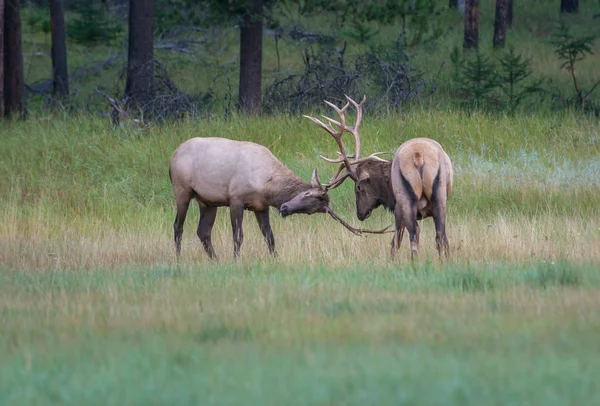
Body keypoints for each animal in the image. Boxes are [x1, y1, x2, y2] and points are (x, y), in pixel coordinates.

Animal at [169, 136, 386, 260]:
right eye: (307, 193)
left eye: (310, 211)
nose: (284, 208)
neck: (266, 186)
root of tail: (172, 158)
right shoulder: (236, 198)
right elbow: (238, 236)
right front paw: (236, 260)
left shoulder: (260, 206)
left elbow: (269, 236)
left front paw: (276, 259)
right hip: (182, 190)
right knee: (178, 226)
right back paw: (178, 258)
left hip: (207, 201)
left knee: (203, 232)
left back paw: (215, 260)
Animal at [304, 95, 454, 260]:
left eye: (358, 188)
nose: (360, 214)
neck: (387, 190)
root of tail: (418, 156)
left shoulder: (396, 207)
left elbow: (395, 242)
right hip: (440, 197)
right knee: (441, 236)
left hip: (405, 200)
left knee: (413, 235)